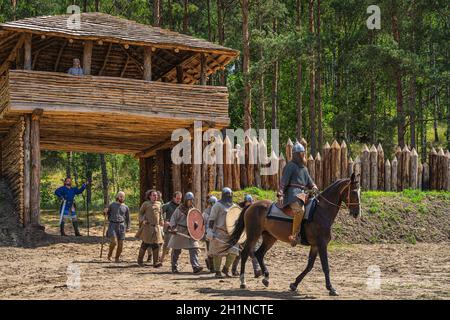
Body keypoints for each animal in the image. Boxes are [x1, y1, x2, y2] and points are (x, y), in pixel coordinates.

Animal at [229, 174, 362, 296]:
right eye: (354, 192)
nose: (357, 213)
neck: (320, 212)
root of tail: (251, 205)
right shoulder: (322, 244)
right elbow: (325, 266)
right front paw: (331, 288)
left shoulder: (315, 246)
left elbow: (309, 266)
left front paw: (294, 284)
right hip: (253, 235)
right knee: (245, 253)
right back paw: (243, 281)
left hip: (270, 238)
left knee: (259, 254)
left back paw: (266, 278)